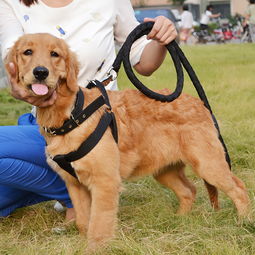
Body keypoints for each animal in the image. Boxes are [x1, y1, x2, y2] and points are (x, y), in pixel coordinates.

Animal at [4, 33, 250, 249]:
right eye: (27, 52)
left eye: (54, 54)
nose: (40, 72)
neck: (72, 114)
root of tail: (199, 103)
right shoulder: (75, 184)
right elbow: (84, 222)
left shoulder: (105, 182)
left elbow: (99, 225)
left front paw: (96, 248)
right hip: (165, 170)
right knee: (189, 190)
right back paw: (179, 220)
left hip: (208, 164)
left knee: (239, 189)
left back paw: (244, 223)